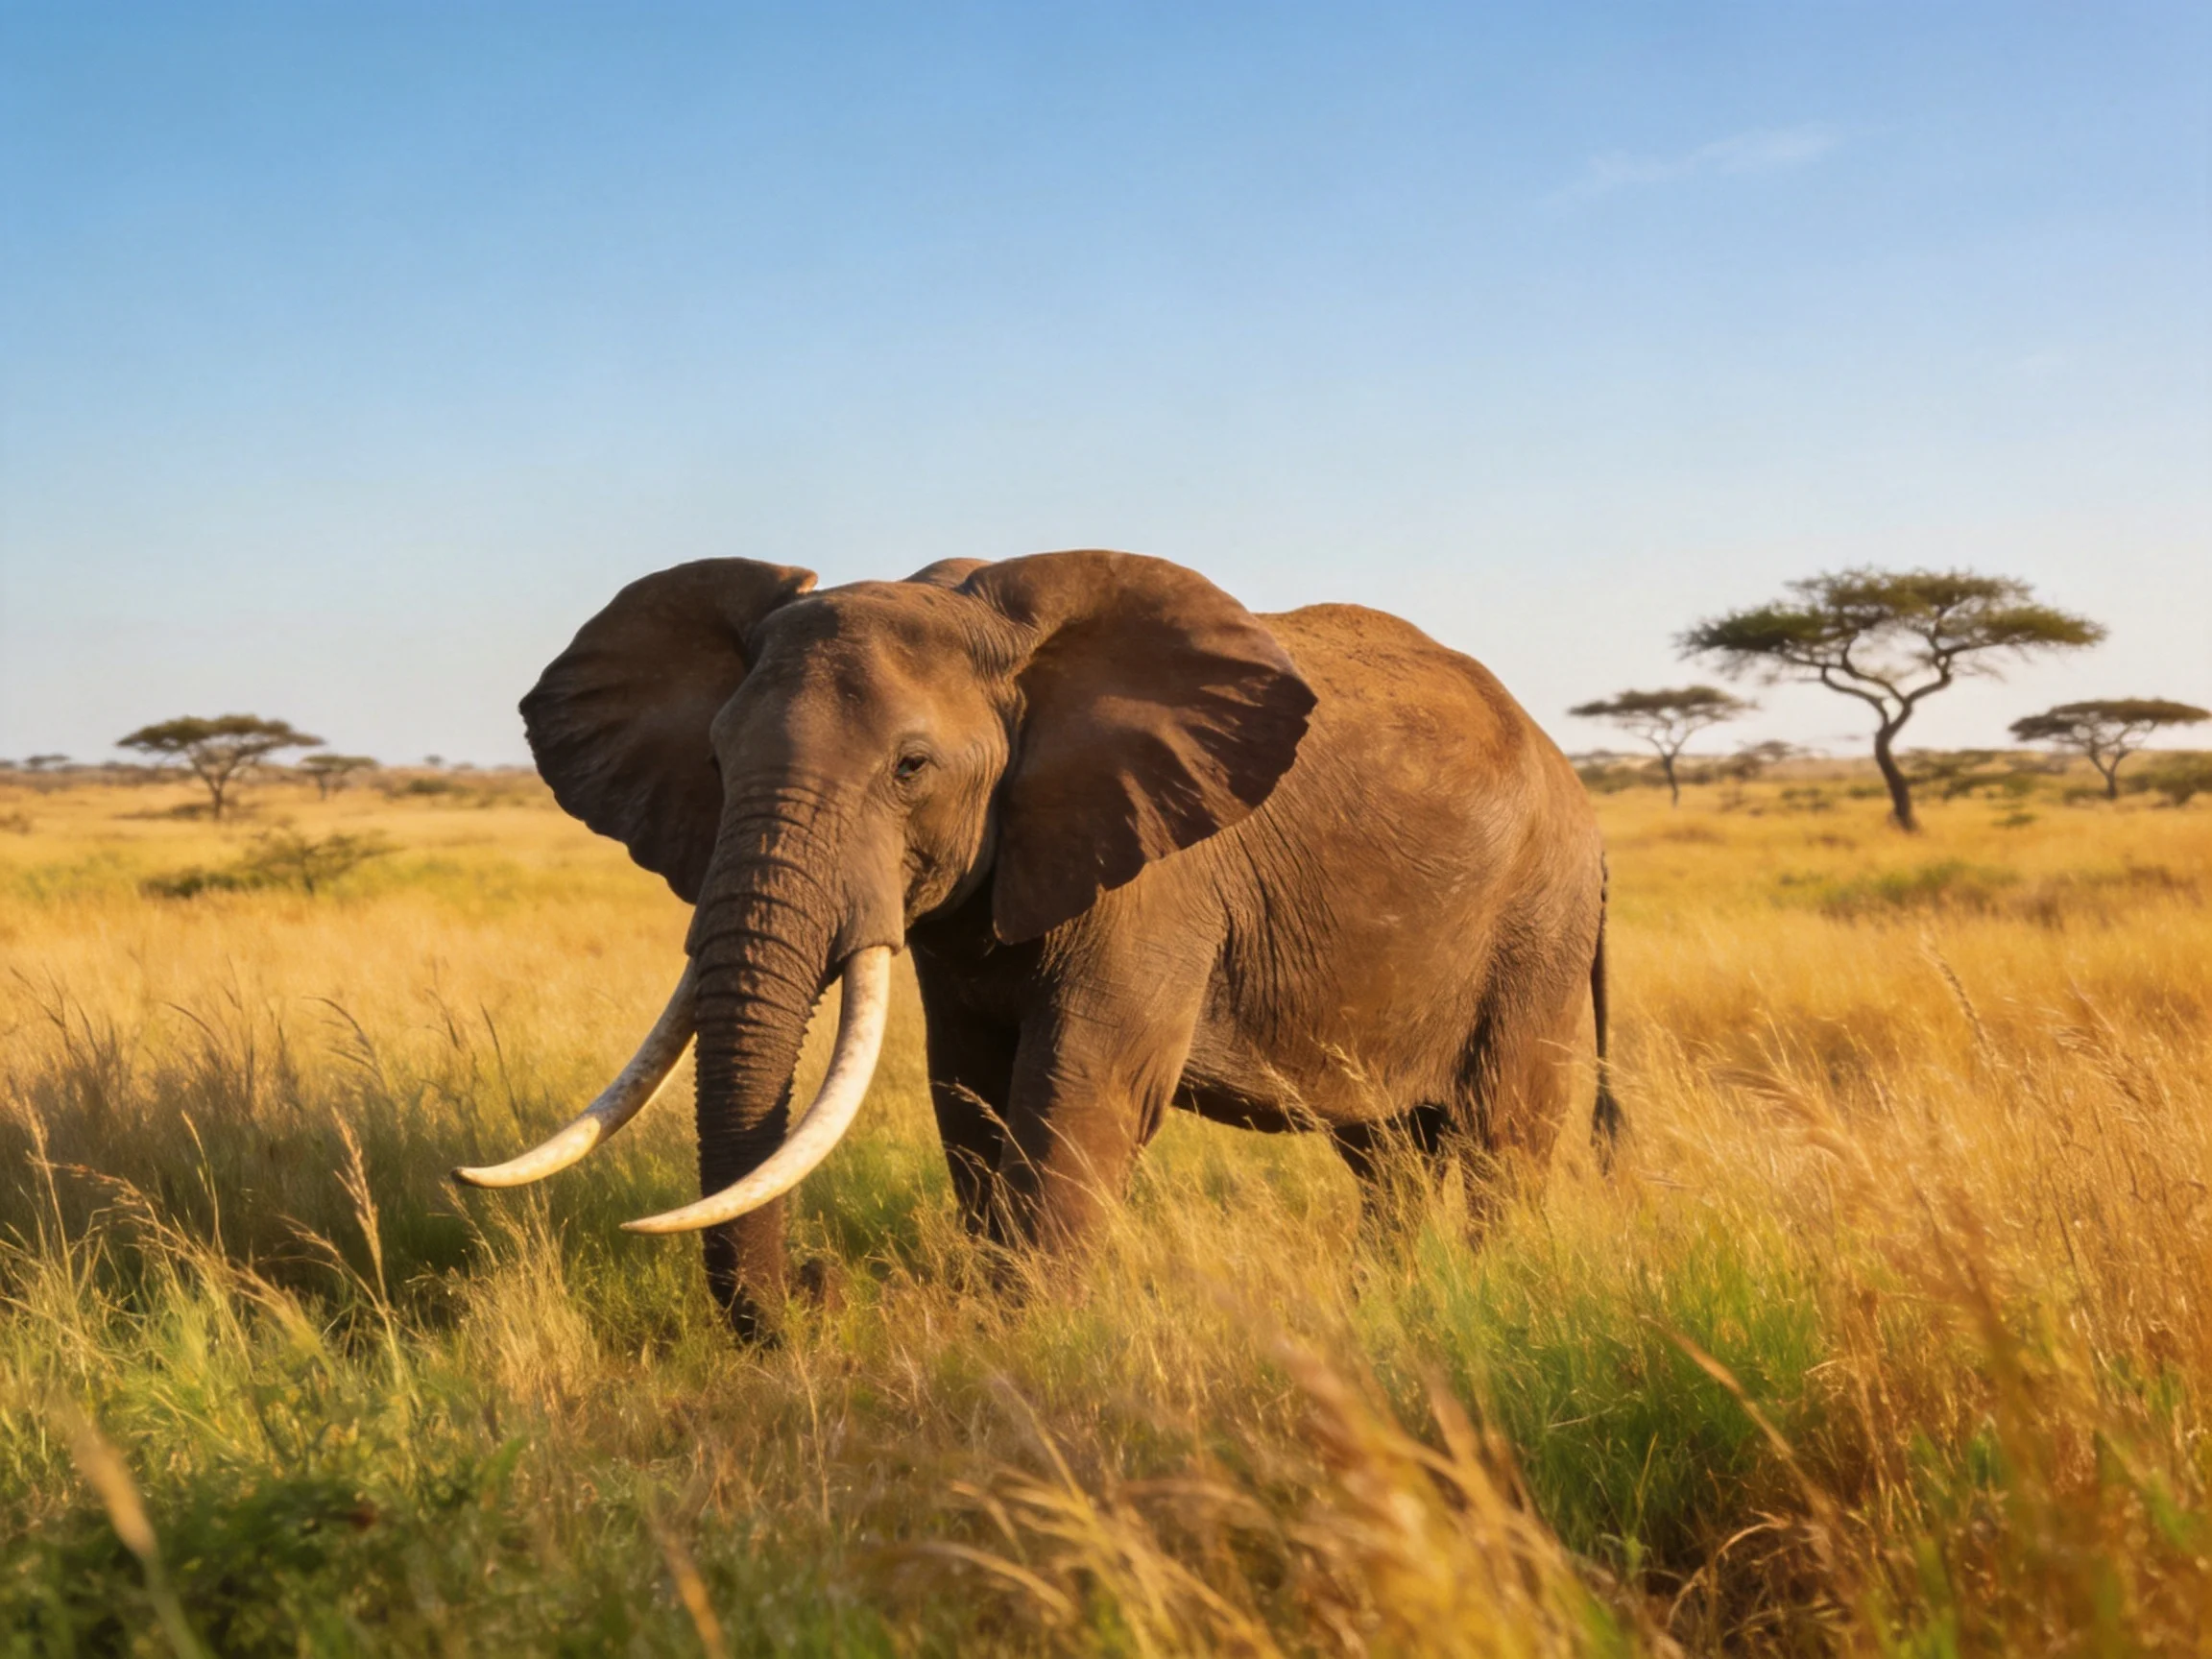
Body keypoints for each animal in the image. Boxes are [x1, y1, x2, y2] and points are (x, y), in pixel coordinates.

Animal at [456, 550, 1619, 1340]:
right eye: (712, 759)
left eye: (911, 768)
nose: (823, 1290)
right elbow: (966, 1087)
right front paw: (994, 1322)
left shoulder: (1160, 878)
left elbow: (1081, 1088)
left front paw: (1026, 1343)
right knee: (1387, 1153)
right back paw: (1386, 1306)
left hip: (1538, 923)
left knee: (1499, 1134)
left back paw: (1483, 1299)